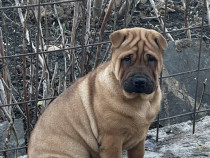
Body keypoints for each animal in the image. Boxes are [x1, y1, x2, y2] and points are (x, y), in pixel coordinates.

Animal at [28, 27, 168, 157]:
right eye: (127, 58)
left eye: (151, 59)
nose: (139, 81)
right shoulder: (112, 139)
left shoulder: (139, 140)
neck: (139, 100)